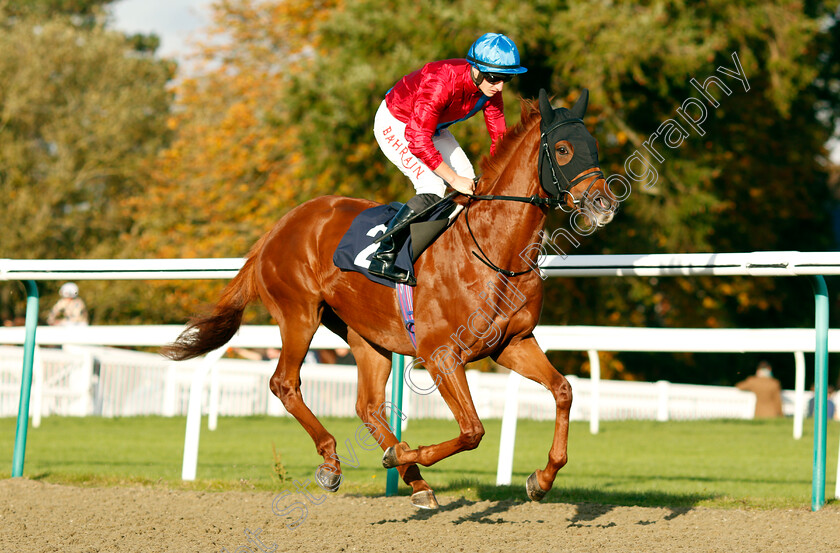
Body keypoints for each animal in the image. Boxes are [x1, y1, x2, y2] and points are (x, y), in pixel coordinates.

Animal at [161, 89, 612, 508]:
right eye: (563, 149)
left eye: (594, 145)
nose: (603, 203)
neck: (493, 250)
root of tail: (280, 225)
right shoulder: (441, 354)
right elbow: (472, 430)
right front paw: (402, 454)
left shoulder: (513, 343)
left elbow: (563, 391)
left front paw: (542, 478)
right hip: (299, 313)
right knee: (285, 384)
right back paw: (334, 463)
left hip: (365, 333)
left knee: (369, 407)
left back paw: (416, 482)